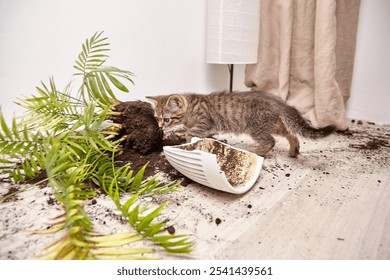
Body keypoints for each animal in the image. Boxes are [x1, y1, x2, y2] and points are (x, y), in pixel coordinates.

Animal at [146, 92, 336, 158]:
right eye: (157, 118)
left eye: (167, 119)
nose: (161, 126)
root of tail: (281, 103)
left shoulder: (204, 124)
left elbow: (190, 133)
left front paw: (185, 140)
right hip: (274, 124)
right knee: (291, 133)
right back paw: (293, 150)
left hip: (256, 127)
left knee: (271, 141)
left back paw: (257, 152)